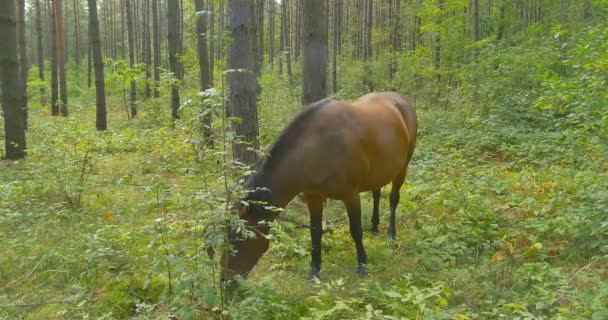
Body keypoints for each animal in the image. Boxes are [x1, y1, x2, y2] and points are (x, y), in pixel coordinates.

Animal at [220, 91, 418, 282]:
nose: (225, 282)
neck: (319, 148)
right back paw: (375, 225)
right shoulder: (313, 196)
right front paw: (314, 269)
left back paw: (391, 235)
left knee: (393, 199)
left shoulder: (351, 196)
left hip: (402, 168)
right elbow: (315, 231)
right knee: (376, 193)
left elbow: (356, 230)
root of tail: (401, 99)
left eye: (238, 239)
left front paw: (363, 265)